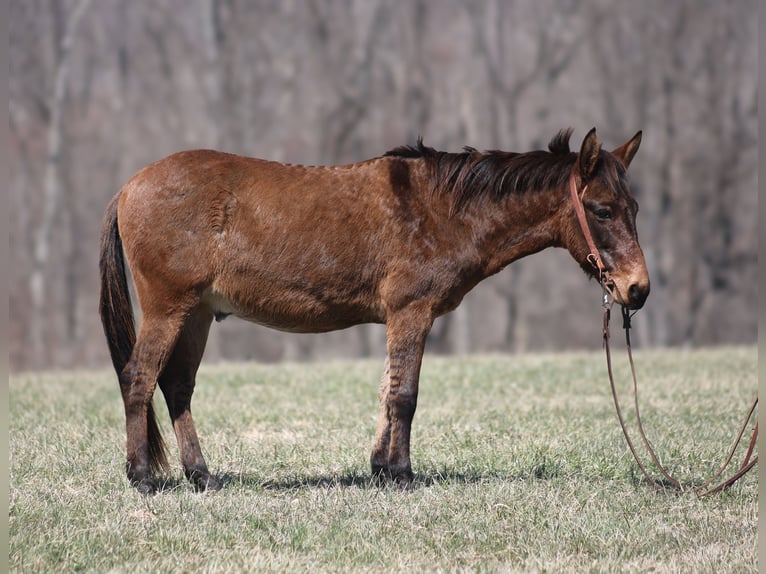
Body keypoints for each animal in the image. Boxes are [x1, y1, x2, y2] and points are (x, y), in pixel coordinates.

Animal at [97, 127, 648, 496]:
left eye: (635, 208)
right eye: (601, 210)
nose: (637, 290)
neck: (442, 209)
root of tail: (129, 186)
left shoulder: (399, 318)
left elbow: (387, 391)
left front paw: (380, 469)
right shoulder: (411, 312)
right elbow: (404, 396)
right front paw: (401, 474)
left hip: (197, 314)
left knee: (177, 387)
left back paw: (201, 476)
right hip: (169, 309)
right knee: (139, 378)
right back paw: (142, 477)